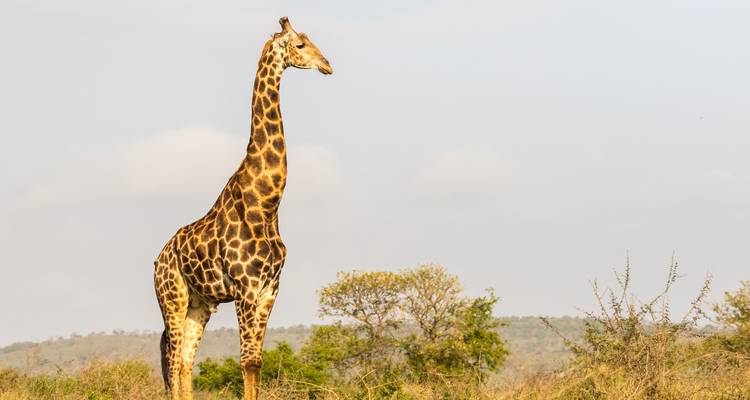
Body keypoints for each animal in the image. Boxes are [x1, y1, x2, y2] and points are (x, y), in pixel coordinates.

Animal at [153, 17, 332, 400]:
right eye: (300, 45)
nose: (327, 64)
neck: (265, 203)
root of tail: (157, 260)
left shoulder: (269, 290)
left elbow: (256, 362)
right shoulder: (246, 289)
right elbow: (246, 362)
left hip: (199, 304)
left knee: (184, 362)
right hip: (172, 297)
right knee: (172, 361)